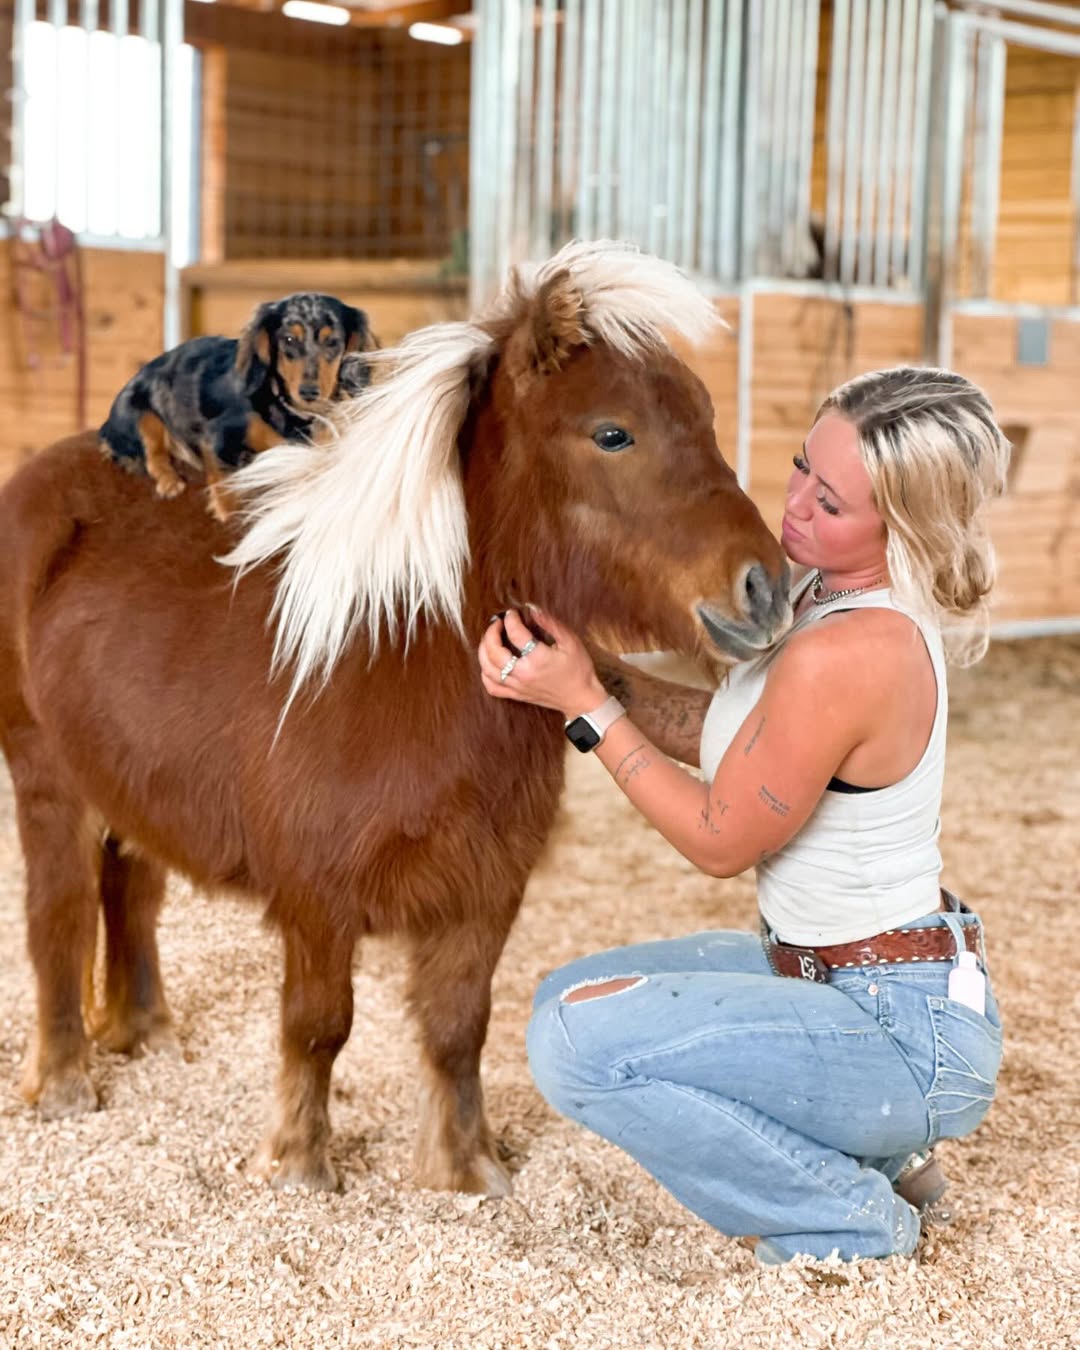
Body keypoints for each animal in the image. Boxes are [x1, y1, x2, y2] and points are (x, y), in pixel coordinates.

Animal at [100, 293, 374, 519]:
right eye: (288, 339)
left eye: (333, 342)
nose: (309, 392)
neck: (287, 408)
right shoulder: (217, 435)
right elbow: (226, 475)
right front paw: (228, 511)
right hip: (139, 413)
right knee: (153, 453)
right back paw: (169, 480)